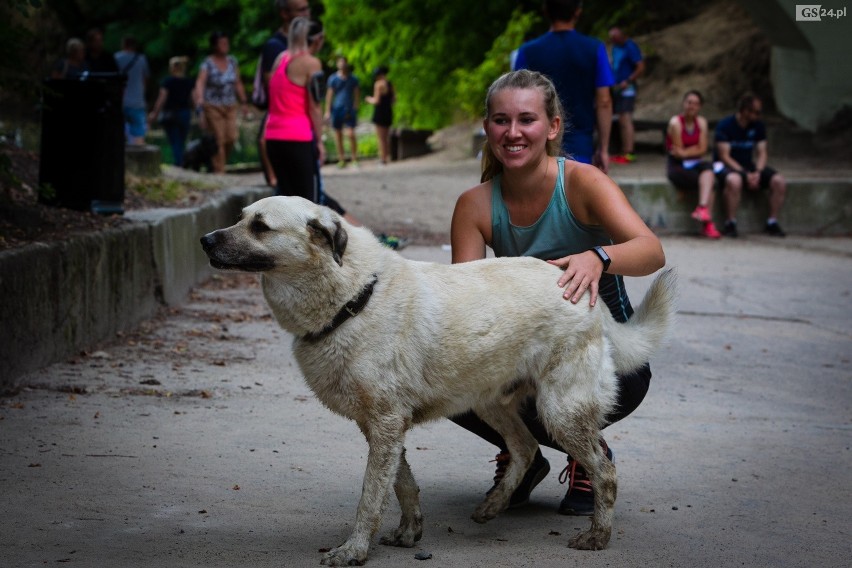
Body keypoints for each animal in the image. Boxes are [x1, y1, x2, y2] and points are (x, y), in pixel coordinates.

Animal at [201, 195, 680, 564]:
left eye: (260, 226)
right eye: (241, 217)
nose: (204, 240)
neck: (354, 297)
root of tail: (583, 289)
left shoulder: (385, 423)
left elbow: (370, 496)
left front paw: (354, 550)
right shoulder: (381, 425)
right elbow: (402, 483)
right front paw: (409, 531)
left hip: (560, 410)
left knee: (605, 469)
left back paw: (598, 535)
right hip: (488, 400)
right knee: (525, 448)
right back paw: (493, 506)